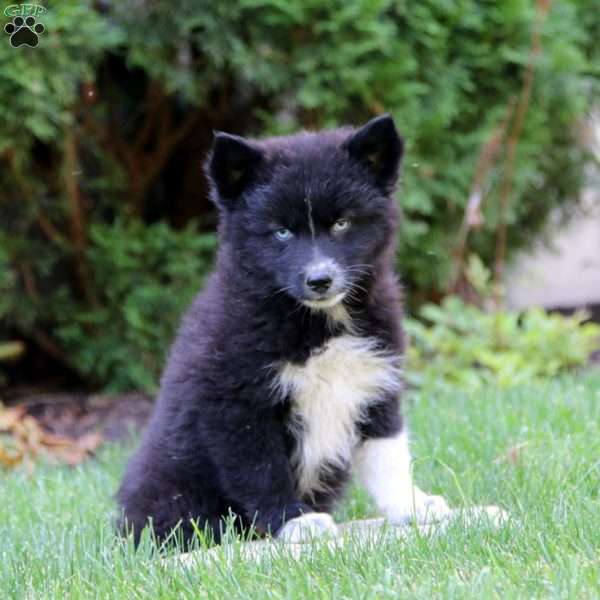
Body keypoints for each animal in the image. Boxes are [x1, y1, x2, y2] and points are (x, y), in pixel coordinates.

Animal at [118, 115, 450, 548]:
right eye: (281, 233)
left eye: (342, 223)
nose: (319, 280)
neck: (318, 322)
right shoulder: (236, 403)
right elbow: (262, 469)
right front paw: (295, 523)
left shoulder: (376, 383)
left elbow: (388, 455)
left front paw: (412, 506)